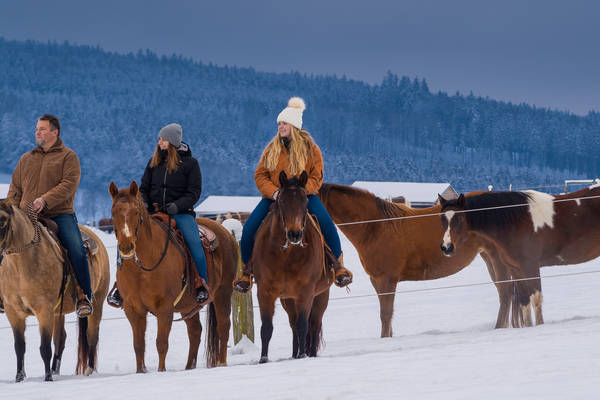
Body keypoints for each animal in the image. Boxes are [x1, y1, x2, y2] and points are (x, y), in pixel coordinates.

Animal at [0, 199, 110, 382]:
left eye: (2, 220)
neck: (21, 266)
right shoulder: (13, 312)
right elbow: (19, 347)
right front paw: (20, 377)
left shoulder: (44, 310)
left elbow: (44, 347)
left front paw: (48, 378)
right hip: (59, 312)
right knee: (60, 339)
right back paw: (55, 370)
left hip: (97, 303)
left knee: (92, 336)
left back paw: (89, 370)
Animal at [109, 180, 238, 370]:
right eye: (113, 213)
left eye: (136, 212)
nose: (126, 247)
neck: (142, 270)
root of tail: (226, 233)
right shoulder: (133, 309)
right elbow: (138, 346)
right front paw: (141, 372)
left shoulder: (165, 307)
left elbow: (161, 344)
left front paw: (161, 371)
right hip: (189, 306)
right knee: (195, 331)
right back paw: (189, 366)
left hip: (223, 293)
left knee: (223, 326)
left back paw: (222, 362)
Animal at [251, 172, 330, 362]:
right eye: (282, 201)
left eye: (305, 202)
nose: (295, 234)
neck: (286, 255)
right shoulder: (265, 292)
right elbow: (266, 328)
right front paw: (263, 359)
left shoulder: (306, 292)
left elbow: (303, 325)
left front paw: (302, 355)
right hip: (288, 300)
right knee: (293, 325)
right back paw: (294, 354)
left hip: (321, 296)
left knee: (313, 325)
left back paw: (309, 354)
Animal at [318, 183, 520, 336]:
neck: (376, 227)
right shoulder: (376, 280)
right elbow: (388, 316)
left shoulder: (387, 280)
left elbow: (385, 314)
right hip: (488, 257)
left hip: (496, 257)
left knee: (505, 292)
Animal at [438, 186, 600, 326]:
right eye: (441, 220)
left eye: (459, 218)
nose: (447, 247)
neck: (515, 220)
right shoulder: (516, 269)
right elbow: (524, 302)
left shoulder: (530, 267)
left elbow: (536, 299)